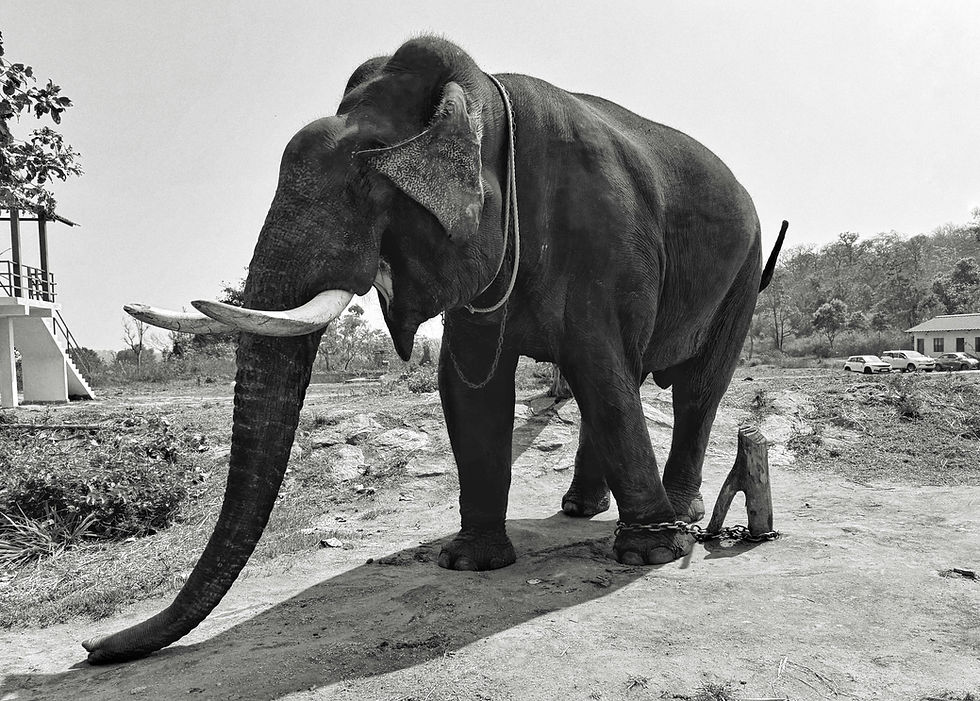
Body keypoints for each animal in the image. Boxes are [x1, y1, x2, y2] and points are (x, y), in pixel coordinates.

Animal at [84, 36, 785, 664]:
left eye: (363, 184)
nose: (92, 649)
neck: (484, 99)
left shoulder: (600, 235)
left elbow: (599, 368)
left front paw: (650, 555)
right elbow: (470, 386)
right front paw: (468, 562)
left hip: (744, 273)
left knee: (696, 388)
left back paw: (678, 513)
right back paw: (582, 510)